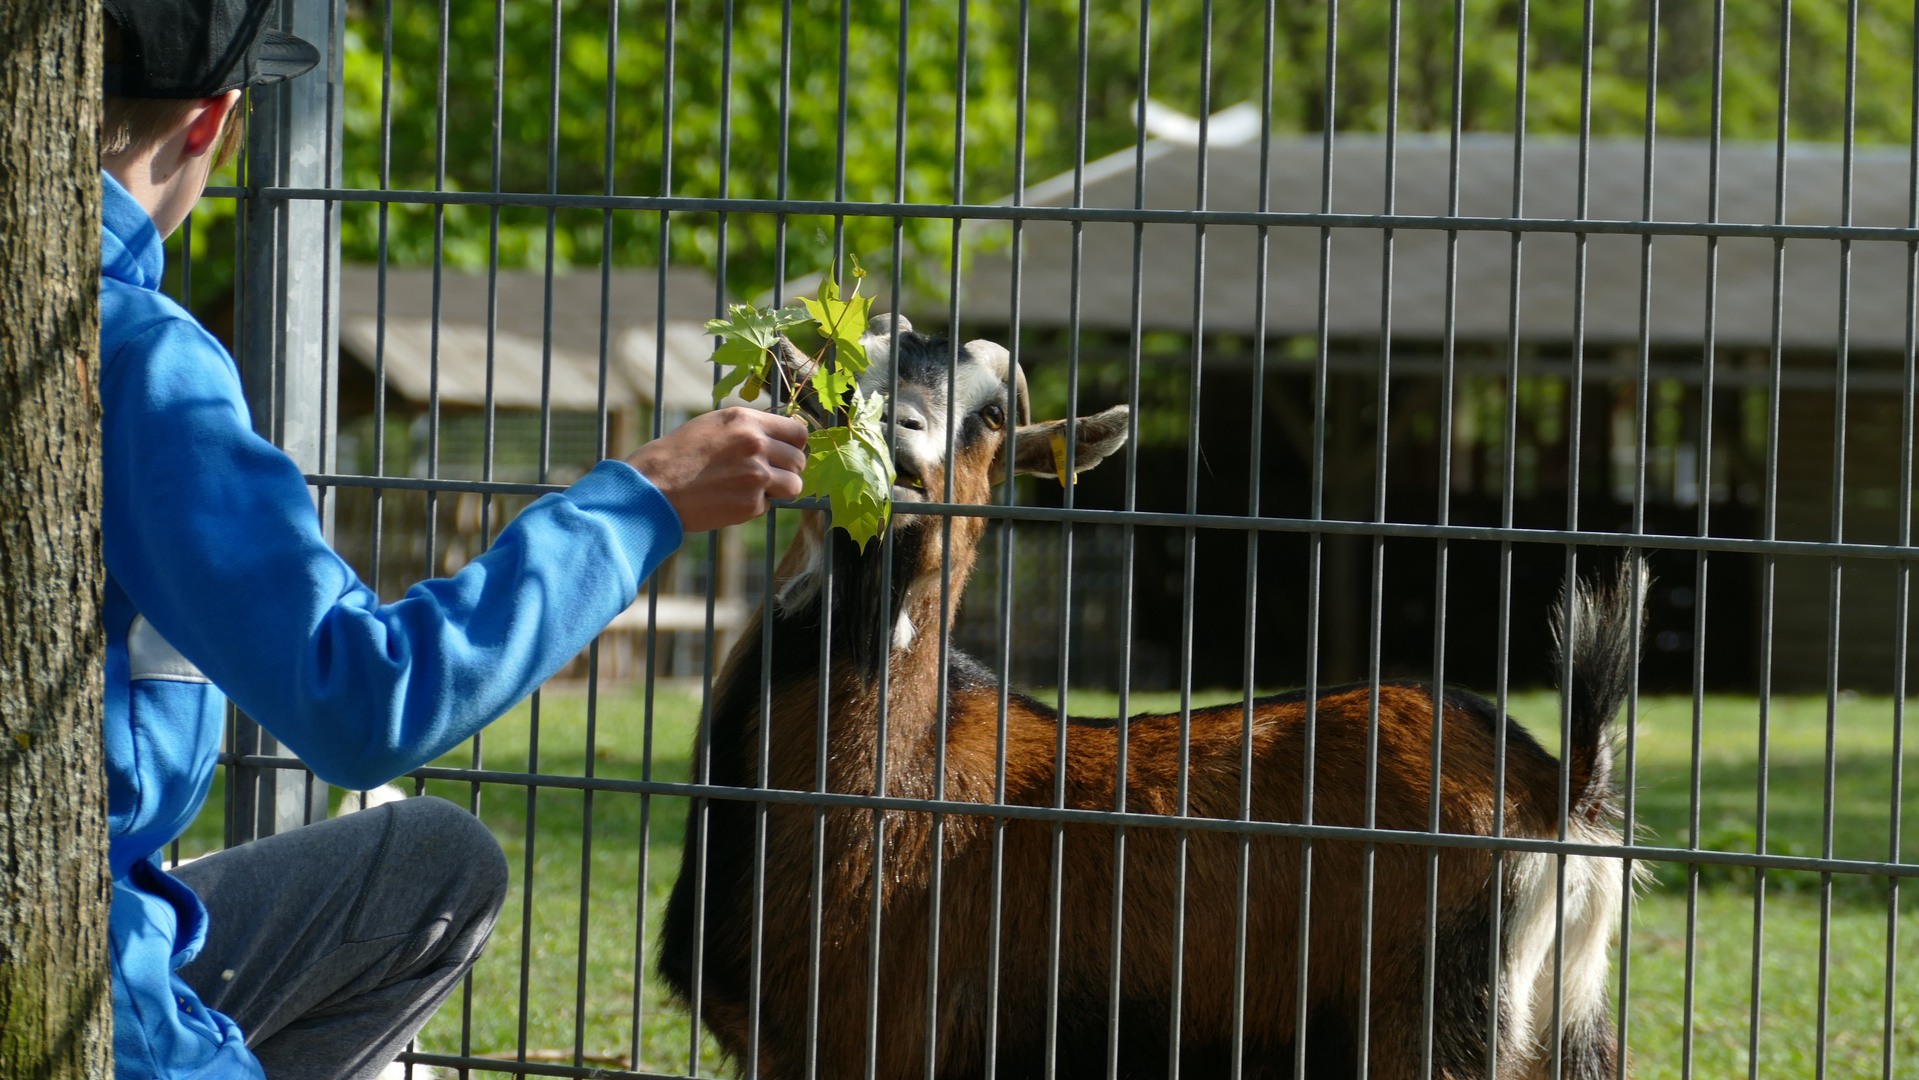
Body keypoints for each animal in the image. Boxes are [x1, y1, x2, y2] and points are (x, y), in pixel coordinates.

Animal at [656, 314, 1634, 1080]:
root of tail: (1559, 793)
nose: (898, 446)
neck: (892, 786)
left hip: (1425, 1028)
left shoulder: (865, 1042)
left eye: (990, 417)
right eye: (838, 378)